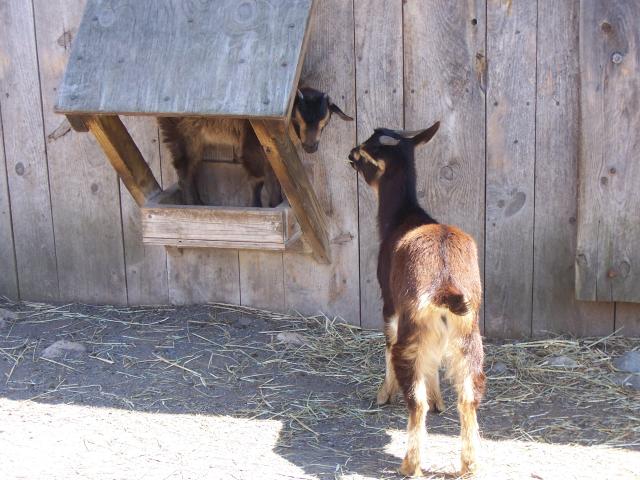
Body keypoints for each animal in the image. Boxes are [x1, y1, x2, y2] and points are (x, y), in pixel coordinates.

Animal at [159, 87, 352, 206]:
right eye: (299, 120)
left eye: (324, 121)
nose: (310, 147)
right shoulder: (252, 144)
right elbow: (258, 179)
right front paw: (261, 204)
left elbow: (275, 176)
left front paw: (275, 201)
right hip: (181, 132)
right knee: (184, 170)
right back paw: (191, 203)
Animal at [348, 122, 485, 477]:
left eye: (366, 152)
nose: (350, 154)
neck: (403, 217)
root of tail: (447, 285)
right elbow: (434, 363)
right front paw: (439, 401)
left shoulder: (389, 303)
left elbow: (386, 342)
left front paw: (383, 394)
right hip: (469, 337)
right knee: (469, 396)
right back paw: (469, 464)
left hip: (412, 332)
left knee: (416, 397)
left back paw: (410, 464)